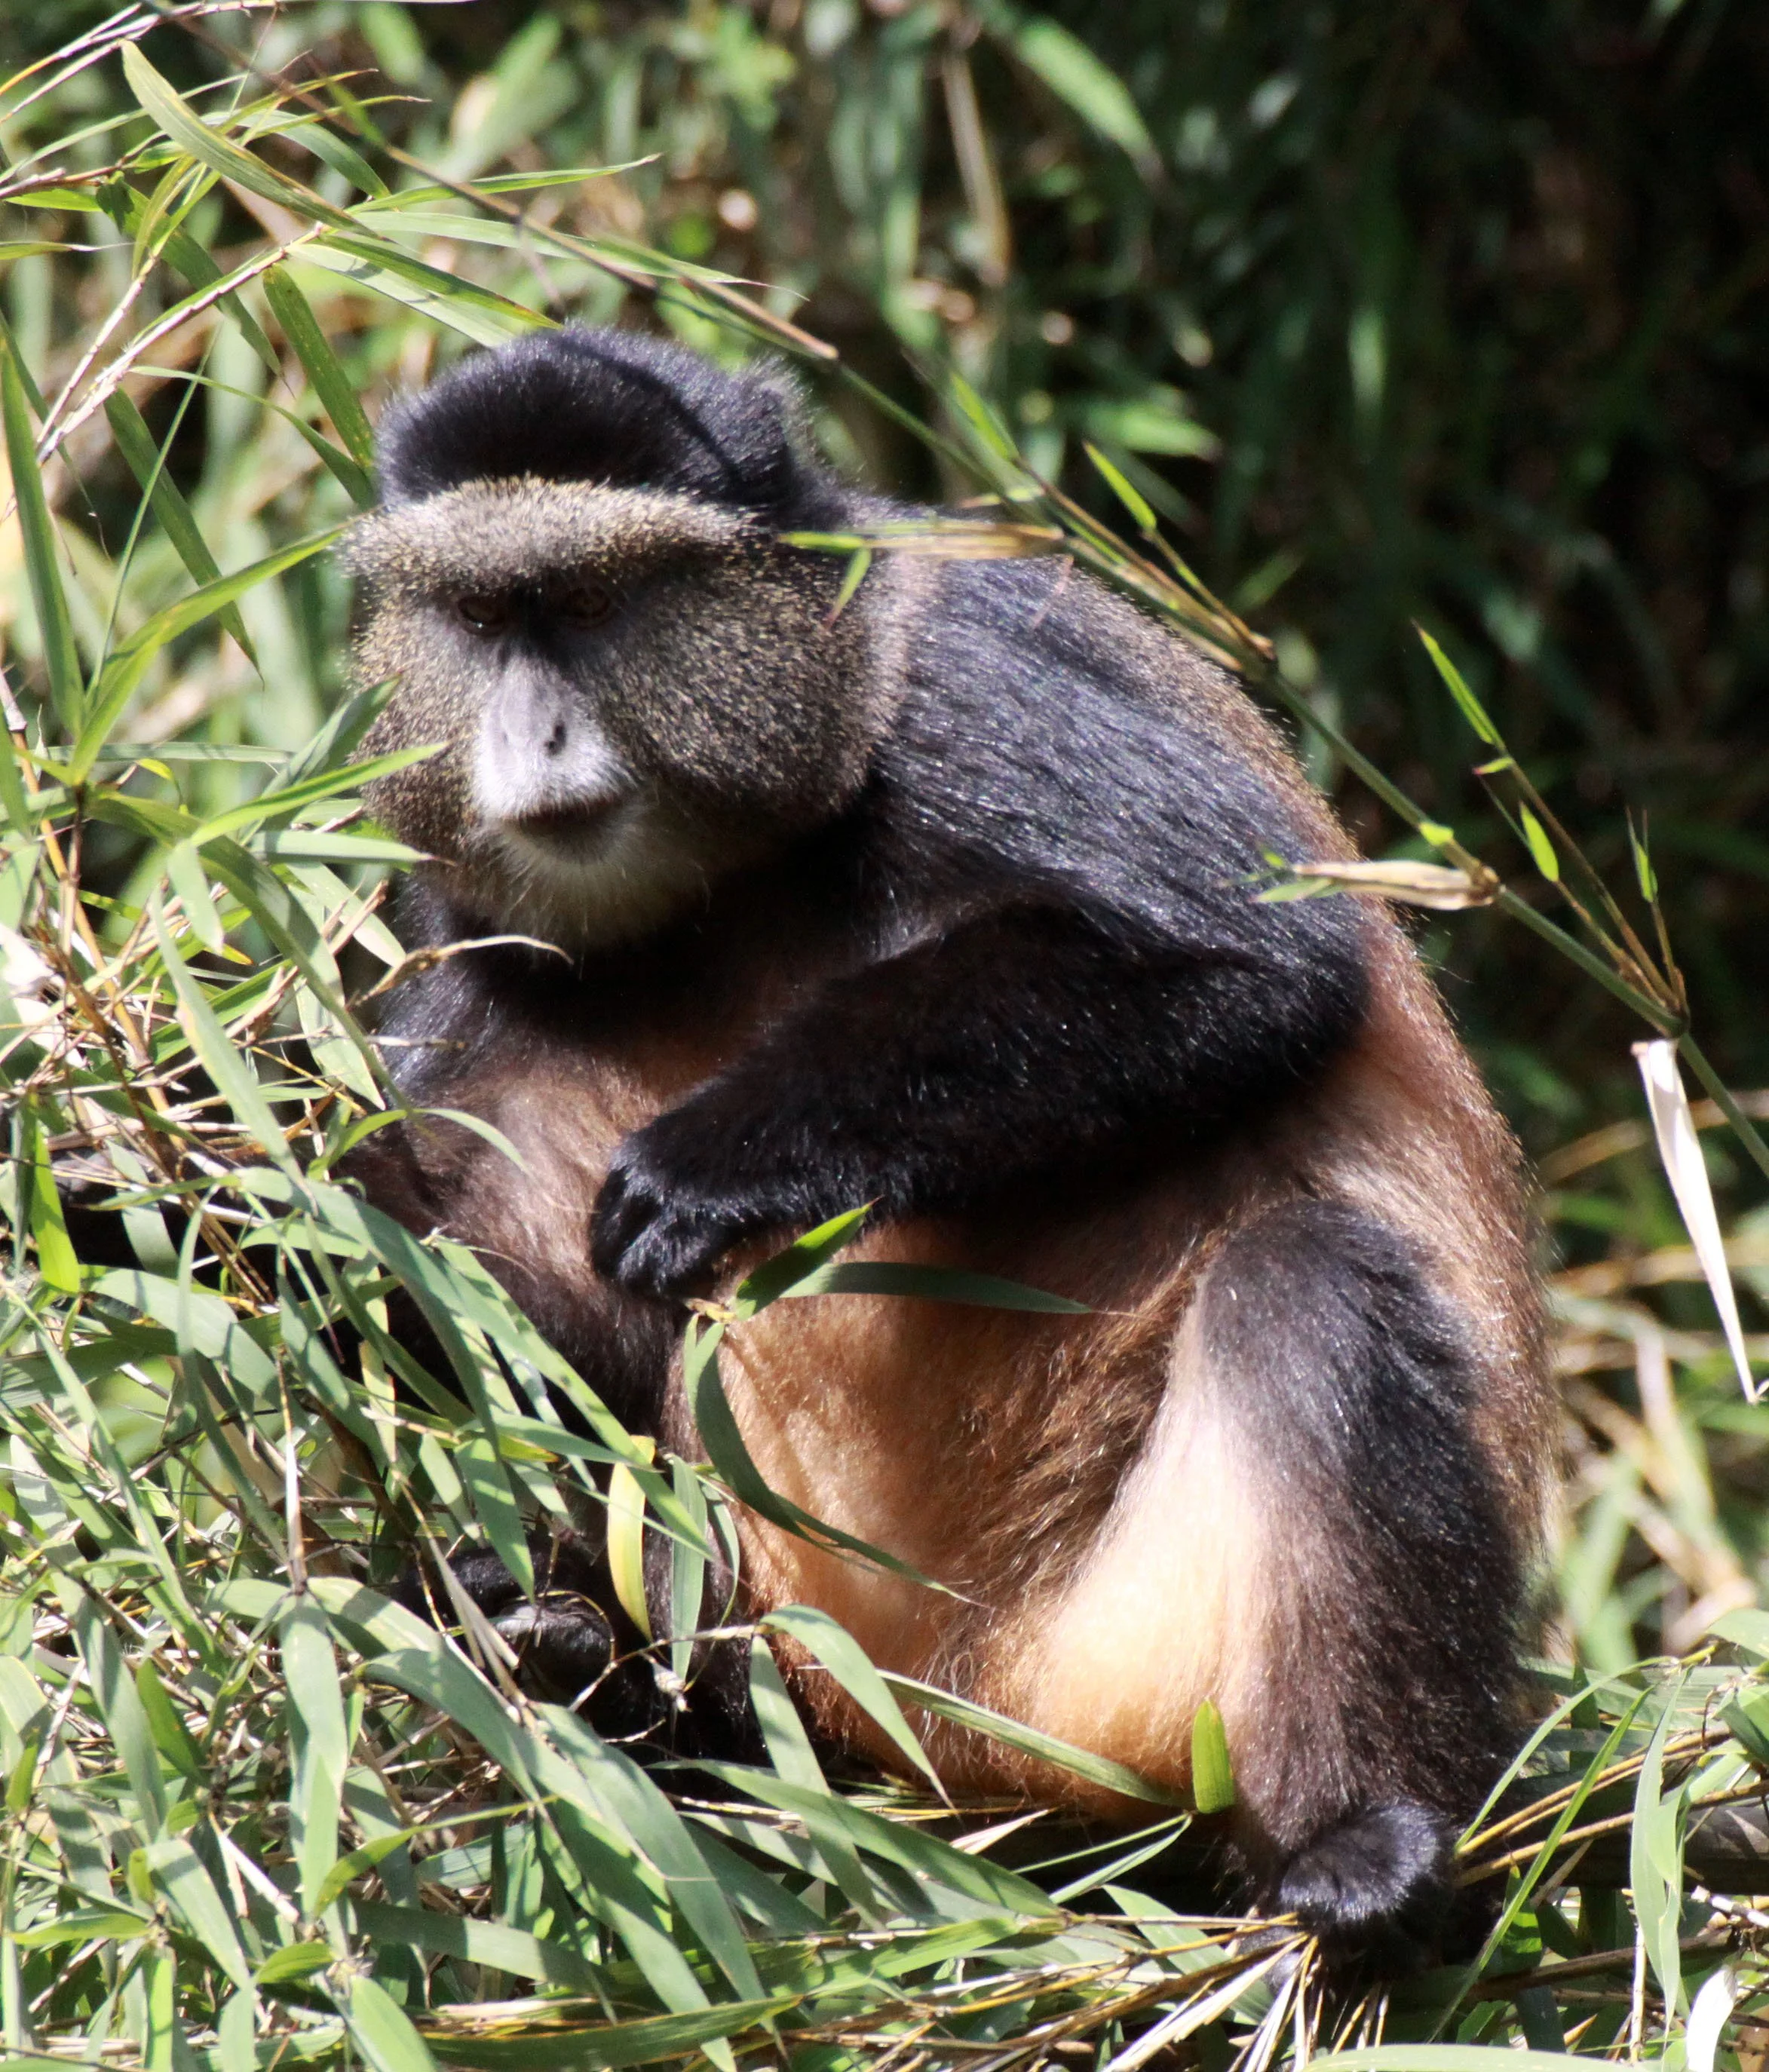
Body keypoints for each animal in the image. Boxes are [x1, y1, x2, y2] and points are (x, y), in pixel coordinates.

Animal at [341, 324, 1553, 1957]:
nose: (531, 733)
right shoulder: (454, 901)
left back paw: (1368, 1839)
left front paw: (722, 1159)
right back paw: (579, 1655)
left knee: (1315, 1287)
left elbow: (1244, 960)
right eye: (479, 617)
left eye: (588, 606)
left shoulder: (971, 672)